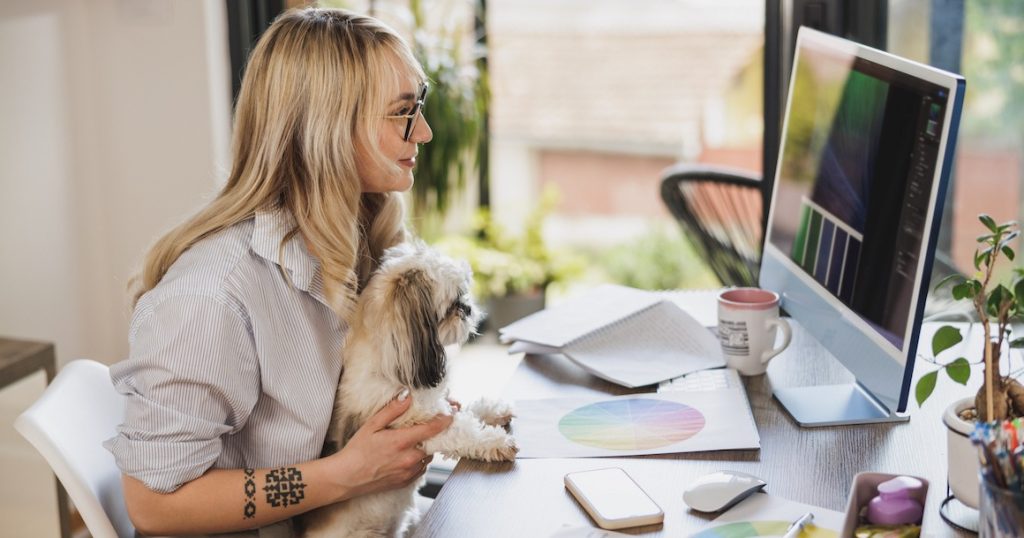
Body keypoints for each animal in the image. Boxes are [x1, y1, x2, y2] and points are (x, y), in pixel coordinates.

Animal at [299, 241, 516, 536]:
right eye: (454, 303)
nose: (468, 309)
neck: (391, 368)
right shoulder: (415, 426)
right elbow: (460, 431)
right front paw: (495, 442)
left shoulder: (436, 403)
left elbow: (464, 411)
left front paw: (492, 410)